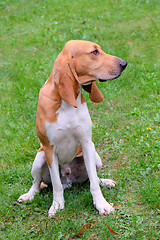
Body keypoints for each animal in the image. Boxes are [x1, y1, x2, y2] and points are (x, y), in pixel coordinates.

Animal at [17, 40, 127, 217]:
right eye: (94, 52)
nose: (124, 64)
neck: (65, 103)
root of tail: (69, 180)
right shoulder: (49, 149)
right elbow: (56, 184)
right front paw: (57, 205)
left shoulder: (87, 143)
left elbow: (93, 183)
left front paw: (101, 204)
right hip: (39, 159)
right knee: (37, 183)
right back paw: (29, 195)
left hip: (95, 157)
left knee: (94, 178)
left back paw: (105, 181)